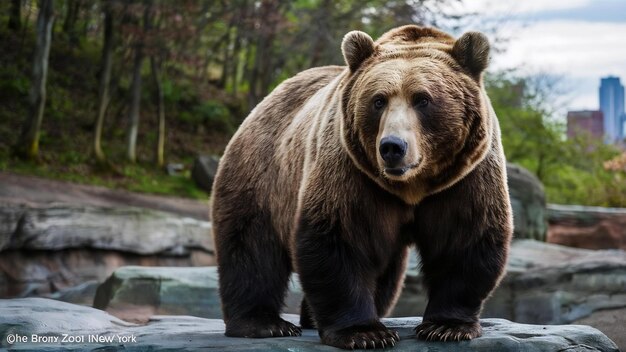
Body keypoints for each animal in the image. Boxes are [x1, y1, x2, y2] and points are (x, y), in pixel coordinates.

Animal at [211, 24, 512, 350]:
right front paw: (364, 333)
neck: (412, 186)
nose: (392, 147)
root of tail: (267, 99)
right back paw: (263, 324)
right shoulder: (352, 172)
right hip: (263, 173)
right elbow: (342, 238)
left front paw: (447, 326)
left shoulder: (464, 179)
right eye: (379, 100)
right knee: (252, 247)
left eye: (423, 99)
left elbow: (464, 240)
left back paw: (309, 318)